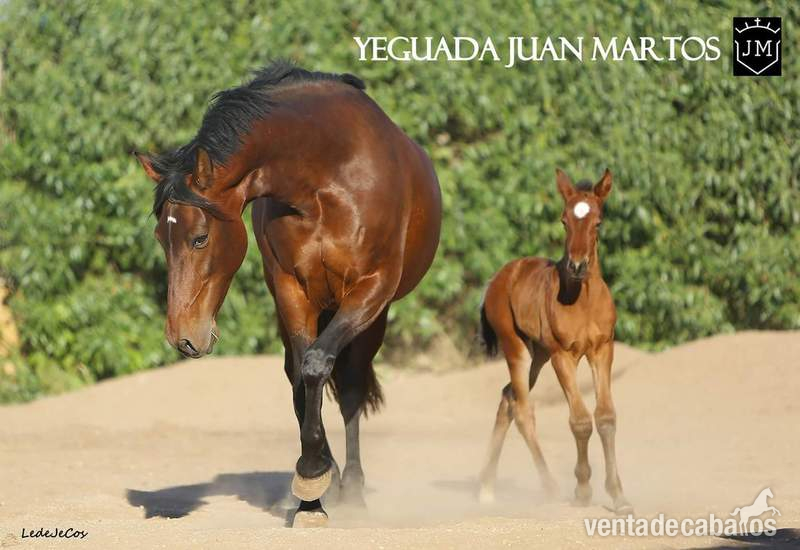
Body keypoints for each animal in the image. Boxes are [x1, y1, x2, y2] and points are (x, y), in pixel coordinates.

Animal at [135, 62, 442, 527]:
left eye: (200, 238)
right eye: (159, 237)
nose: (182, 337)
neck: (327, 177)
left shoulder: (371, 289)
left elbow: (319, 368)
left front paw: (315, 476)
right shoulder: (291, 289)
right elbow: (303, 375)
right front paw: (313, 489)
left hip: (373, 317)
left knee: (349, 386)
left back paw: (352, 489)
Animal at [477, 168, 632, 514]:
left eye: (598, 221)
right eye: (563, 220)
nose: (577, 265)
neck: (583, 298)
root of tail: (500, 277)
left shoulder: (602, 350)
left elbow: (606, 417)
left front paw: (619, 496)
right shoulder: (564, 355)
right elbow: (580, 420)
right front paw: (583, 490)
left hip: (539, 355)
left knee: (507, 398)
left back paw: (487, 488)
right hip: (517, 348)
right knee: (522, 409)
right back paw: (549, 487)